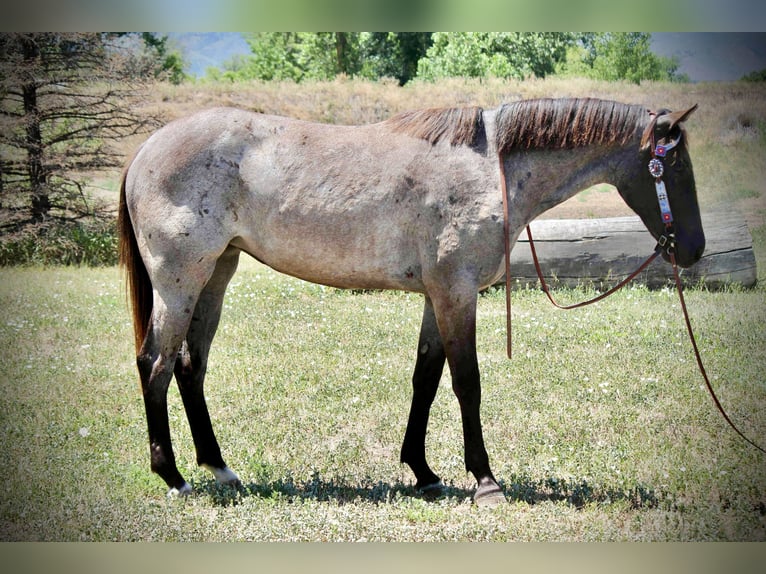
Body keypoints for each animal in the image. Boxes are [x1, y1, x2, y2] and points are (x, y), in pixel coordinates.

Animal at [117, 98, 704, 505]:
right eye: (675, 168)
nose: (694, 249)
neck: (491, 169)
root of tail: (145, 150)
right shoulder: (456, 293)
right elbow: (466, 384)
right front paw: (485, 480)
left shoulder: (437, 297)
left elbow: (426, 378)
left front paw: (422, 472)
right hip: (180, 281)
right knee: (155, 364)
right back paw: (172, 476)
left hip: (216, 274)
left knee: (190, 367)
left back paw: (219, 468)